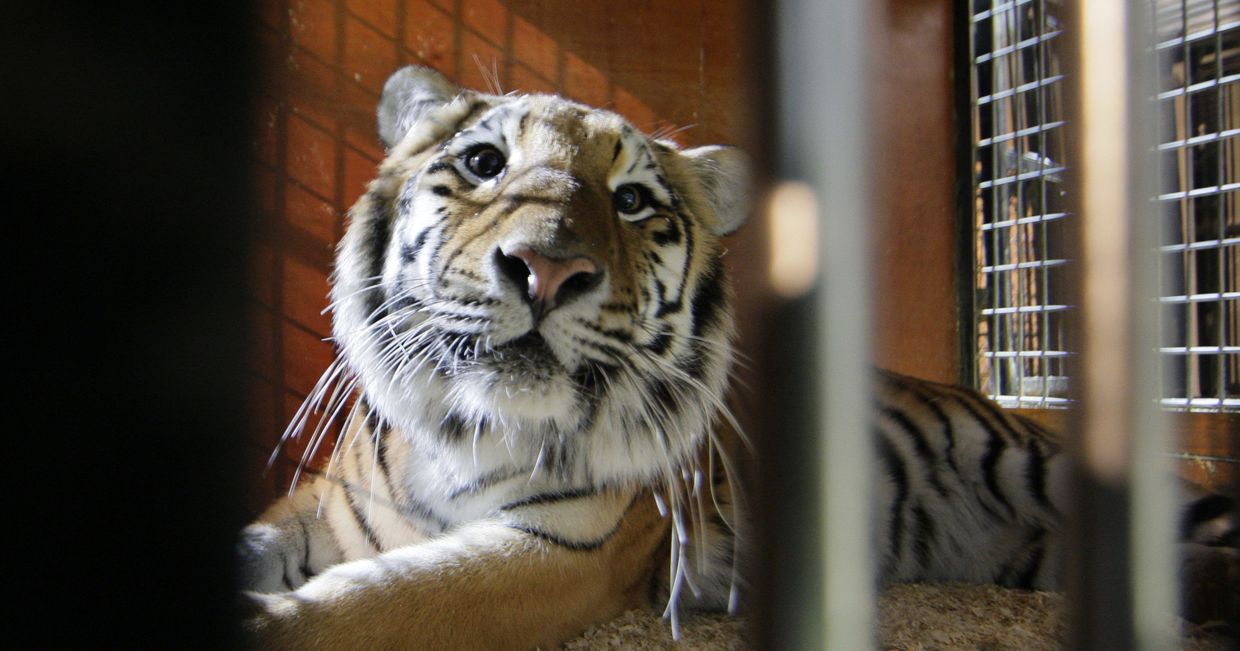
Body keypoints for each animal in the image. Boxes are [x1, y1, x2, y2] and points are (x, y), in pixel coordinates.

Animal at [239, 65, 1238, 649]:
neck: (463, 429)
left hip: (1056, 471)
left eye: (633, 200)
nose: (548, 268)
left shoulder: (563, 549)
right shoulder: (323, 508)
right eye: (484, 162)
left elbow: (386, 600)